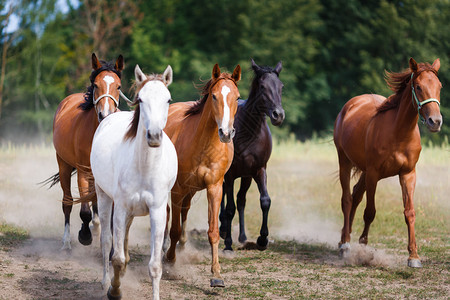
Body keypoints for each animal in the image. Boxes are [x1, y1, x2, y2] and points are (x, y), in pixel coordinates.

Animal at [45, 53, 123, 248]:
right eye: (95, 85)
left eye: (118, 86)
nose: (105, 114)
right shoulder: (83, 171)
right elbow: (85, 210)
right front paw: (85, 235)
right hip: (63, 165)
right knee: (67, 202)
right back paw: (67, 242)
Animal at [90, 64, 178, 298]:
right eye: (140, 99)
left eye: (168, 99)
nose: (154, 135)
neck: (144, 168)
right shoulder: (120, 209)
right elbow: (117, 258)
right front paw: (114, 290)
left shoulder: (157, 212)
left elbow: (155, 266)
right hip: (103, 196)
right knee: (106, 241)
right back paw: (105, 281)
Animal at [163, 63, 241, 288]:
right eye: (214, 96)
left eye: (237, 97)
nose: (226, 133)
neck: (203, 146)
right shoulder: (177, 188)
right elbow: (174, 228)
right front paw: (169, 261)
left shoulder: (215, 188)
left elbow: (213, 231)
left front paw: (216, 275)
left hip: (191, 189)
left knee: (185, 211)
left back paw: (182, 246)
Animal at [219, 58, 284, 251]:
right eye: (263, 87)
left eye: (281, 86)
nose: (278, 115)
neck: (248, 132)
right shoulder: (230, 174)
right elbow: (230, 208)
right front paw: (227, 244)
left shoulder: (258, 170)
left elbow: (265, 201)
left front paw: (262, 239)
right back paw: (223, 229)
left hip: (246, 177)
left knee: (241, 200)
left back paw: (242, 236)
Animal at [334, 58, 442, 268]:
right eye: (418, 87)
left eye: (439, 86)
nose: (435, 121)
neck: (399, 133)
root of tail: (350, 105)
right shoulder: (374, 174)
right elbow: (370, 212)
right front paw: (364, 247)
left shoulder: (408, 174)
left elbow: (410, 212)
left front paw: (414, 257)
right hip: (345, 161)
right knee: (347, 199)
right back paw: (346, 245)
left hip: (364, 170)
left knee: (355, 196)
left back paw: (344, 238)